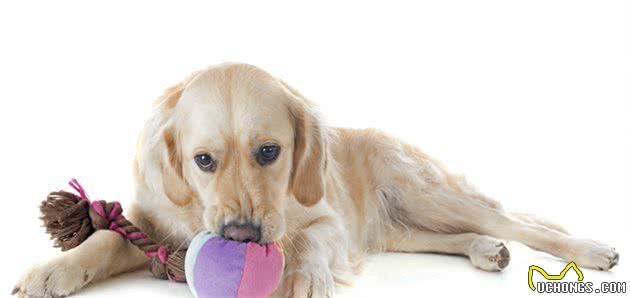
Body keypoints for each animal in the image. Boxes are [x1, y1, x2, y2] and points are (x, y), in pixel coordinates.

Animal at [14, 63, 624, 298]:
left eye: (269, 152)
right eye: (203, 160)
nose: (239, 238)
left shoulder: (328, 221)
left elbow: (306, 242)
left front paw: (305, 279)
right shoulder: (153, 219)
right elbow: (105, 237)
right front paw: (50, 271)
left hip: (427, 193)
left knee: (519, 222)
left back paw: (591, 249)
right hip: (401, 229)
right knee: (461, 235)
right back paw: (483, 250)